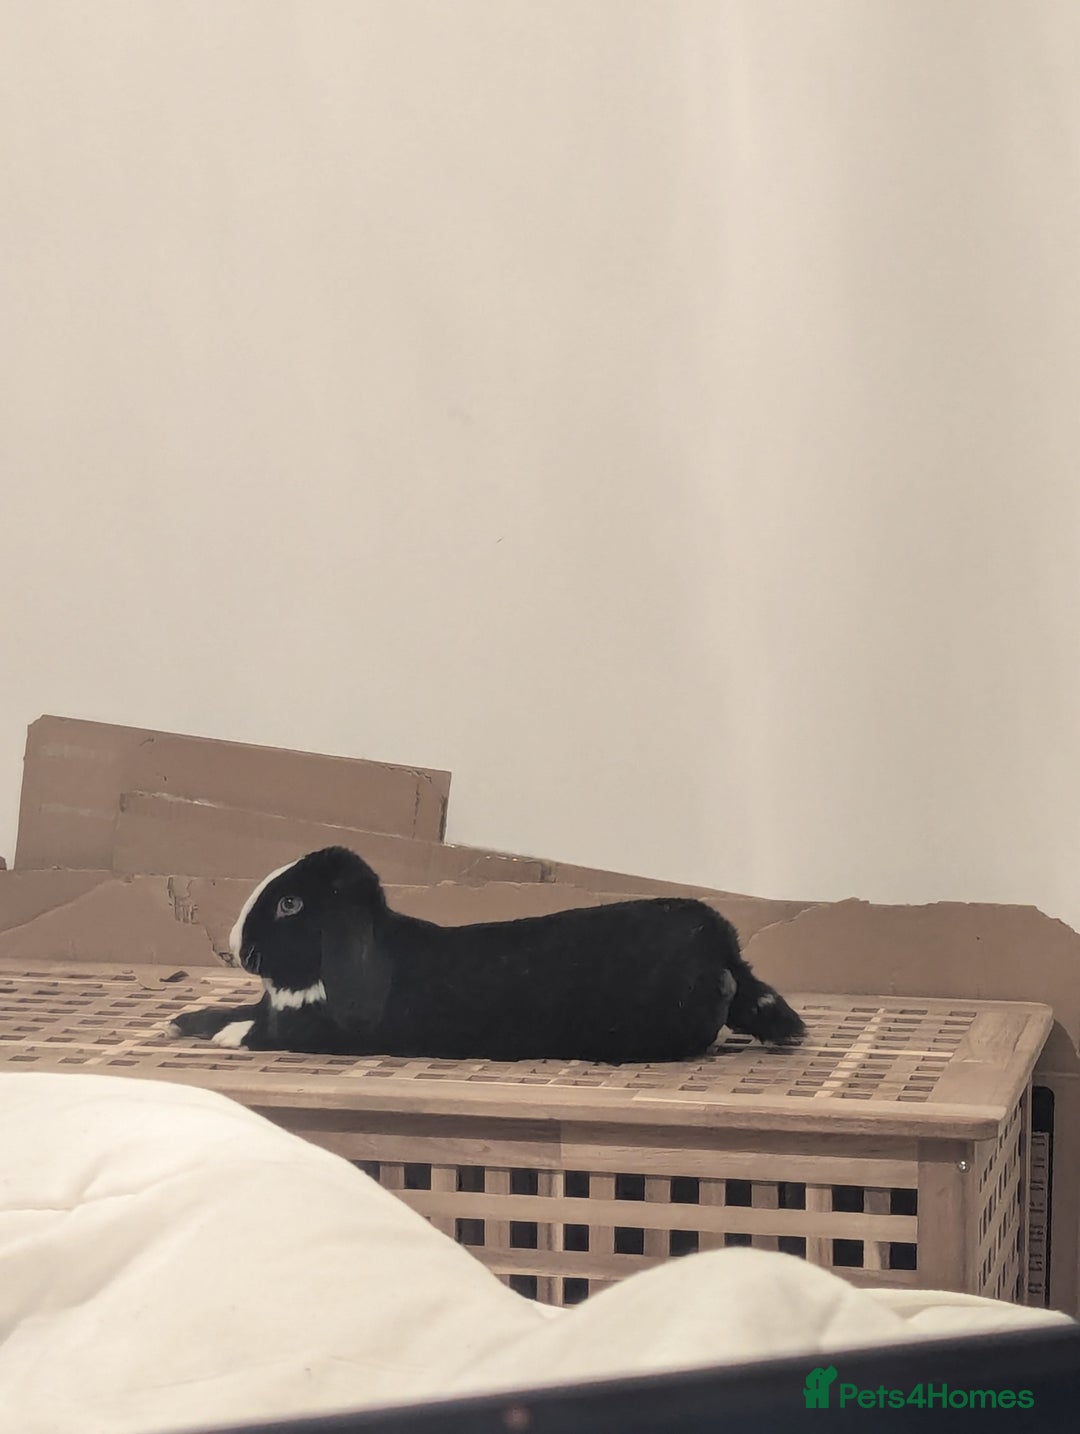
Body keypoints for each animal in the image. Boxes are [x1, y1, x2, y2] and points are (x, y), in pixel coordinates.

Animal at [166, 846, 806, 1062]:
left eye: (291, 904)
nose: (233, 946)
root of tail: (716, 941)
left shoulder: (309, 1031)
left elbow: (258, 1031)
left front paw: (224, 1037)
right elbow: (232, 1011)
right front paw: (182, 1021)